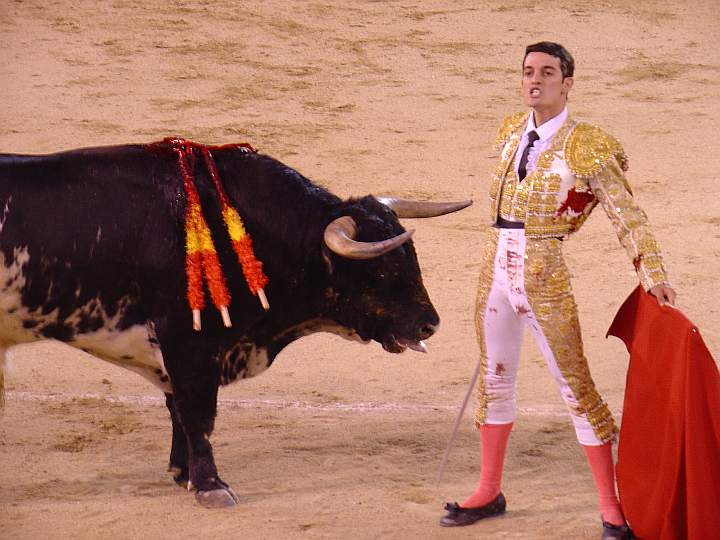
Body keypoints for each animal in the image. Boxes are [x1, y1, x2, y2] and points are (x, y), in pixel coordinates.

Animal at [0, 140, 472, 506]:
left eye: (412, 258)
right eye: (379, 270)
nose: (429, 325)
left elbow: (179, 410)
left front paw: (183, 473)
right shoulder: (189, 343)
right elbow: (198, 413)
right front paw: (210, 486)